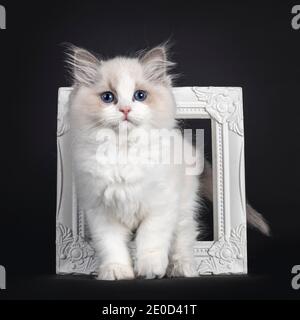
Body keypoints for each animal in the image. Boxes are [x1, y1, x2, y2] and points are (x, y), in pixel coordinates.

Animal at [66, 45, 270, 280]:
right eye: (108, 97)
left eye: (140, 95)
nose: (125, 109)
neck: (124, 150)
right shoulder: (101, 211)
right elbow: (111, 246)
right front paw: (117, 271)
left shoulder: (160, 206)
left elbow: (151, 240)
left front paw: (151, 269)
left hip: (183, 208)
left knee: (183, 238)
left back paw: (181, 268)